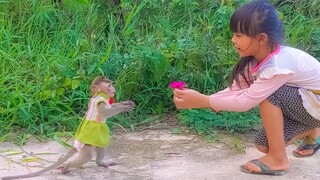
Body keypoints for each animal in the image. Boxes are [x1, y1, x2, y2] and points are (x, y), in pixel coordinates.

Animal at [1, 76, 134, 180]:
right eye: (109, 85)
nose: (113, 89)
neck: (100, 95)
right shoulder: (100, 102)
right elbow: (104, 113)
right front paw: (123, 108)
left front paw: (126, 103)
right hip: (87, 143)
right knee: (87, 156)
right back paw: (67, 166)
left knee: (101, 145)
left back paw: (99, 162)